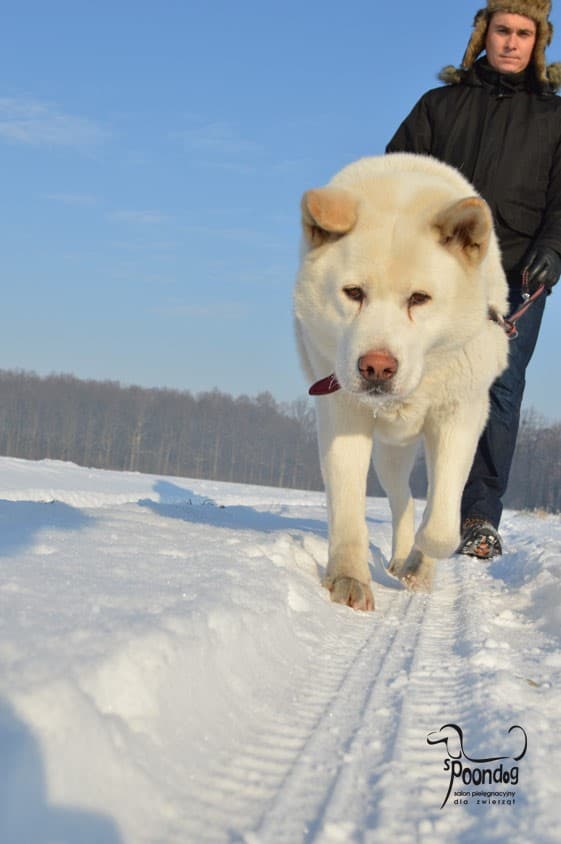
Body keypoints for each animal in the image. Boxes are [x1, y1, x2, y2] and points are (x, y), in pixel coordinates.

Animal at [296, 152, 510, 608]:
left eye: (419, 299)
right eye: (353, 293)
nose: (376, 367)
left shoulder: (461, 414)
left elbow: (442, 525)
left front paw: (421, 562)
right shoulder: (342, 410)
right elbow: (348, 505)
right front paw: (349, 579)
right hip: (390, 454)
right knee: (403, 499)